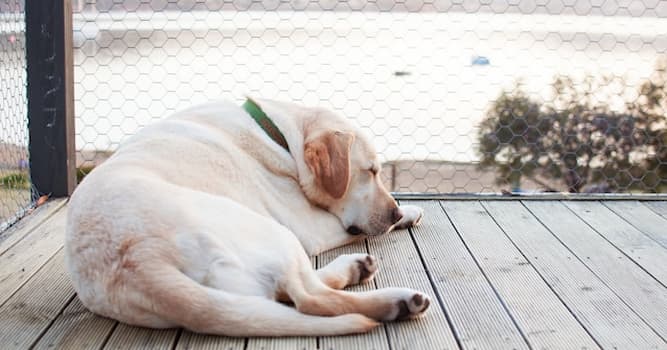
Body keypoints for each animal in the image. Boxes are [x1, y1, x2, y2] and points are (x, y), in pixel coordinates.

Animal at [66, 98, 428, 336]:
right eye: (371, 171)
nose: (394, 212)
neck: (278, 136)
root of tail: (141, 261)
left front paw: (408, 212)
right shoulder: (309, 227)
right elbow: (353, 229)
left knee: (285, 293)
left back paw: (356, 269)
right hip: (275, 232)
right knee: (312, 299)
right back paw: (398, 301)